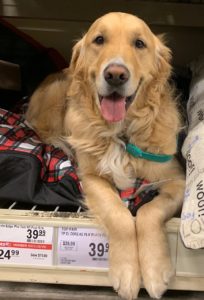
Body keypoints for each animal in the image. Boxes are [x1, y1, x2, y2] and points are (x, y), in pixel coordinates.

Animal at [25, 12, 185, 300]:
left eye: (140, 43)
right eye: (99, 39)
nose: (116, 75)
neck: (121, 132)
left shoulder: (177, 179)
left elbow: (150, 211)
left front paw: (155, 270)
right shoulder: (90, 177)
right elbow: (119, 215)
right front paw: (127, 272)